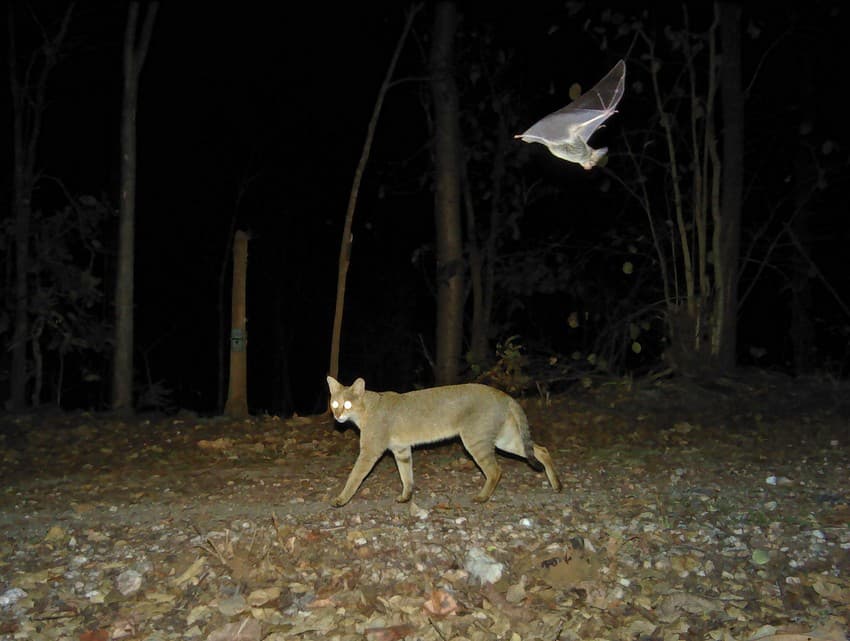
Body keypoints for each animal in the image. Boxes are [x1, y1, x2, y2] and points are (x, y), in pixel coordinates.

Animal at [322, 376, 556, 504]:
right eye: (334, 404)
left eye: (347, 405)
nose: (337, 415)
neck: (368, 408)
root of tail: (503, 394)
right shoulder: (401, 450)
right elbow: (406, 476)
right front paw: (406, 496)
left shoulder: (370, 451)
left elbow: (354, 476)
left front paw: (341, 499)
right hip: (503, 439)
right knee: (541, 449)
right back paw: (557, 485)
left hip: (476, 440)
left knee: (495, 470)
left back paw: (482, 497)